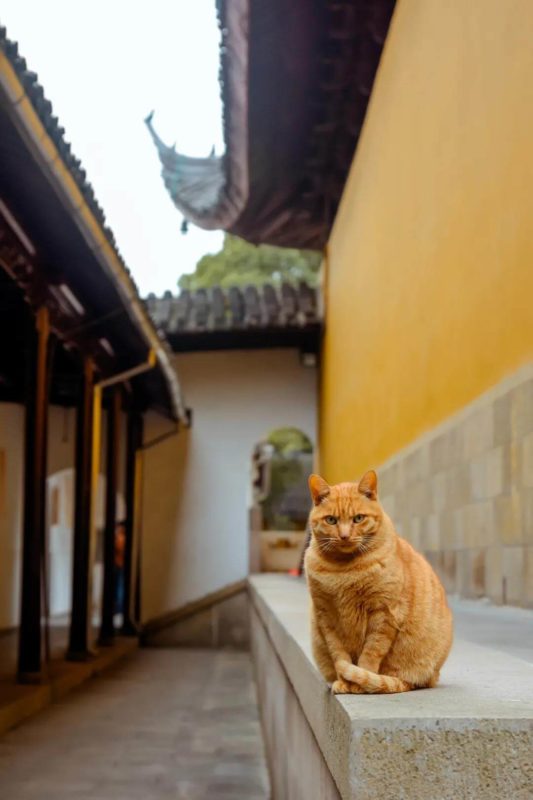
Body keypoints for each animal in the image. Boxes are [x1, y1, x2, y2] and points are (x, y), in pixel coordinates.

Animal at [306, 468, 450, 692]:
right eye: (331, 520)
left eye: (358, 518)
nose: (344, 536)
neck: (343, 570)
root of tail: (432, 677)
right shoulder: (327, 616)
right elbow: (339, 654)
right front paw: (343, 681)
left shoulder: (384, 613)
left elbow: (370, 655)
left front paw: (359, 683)